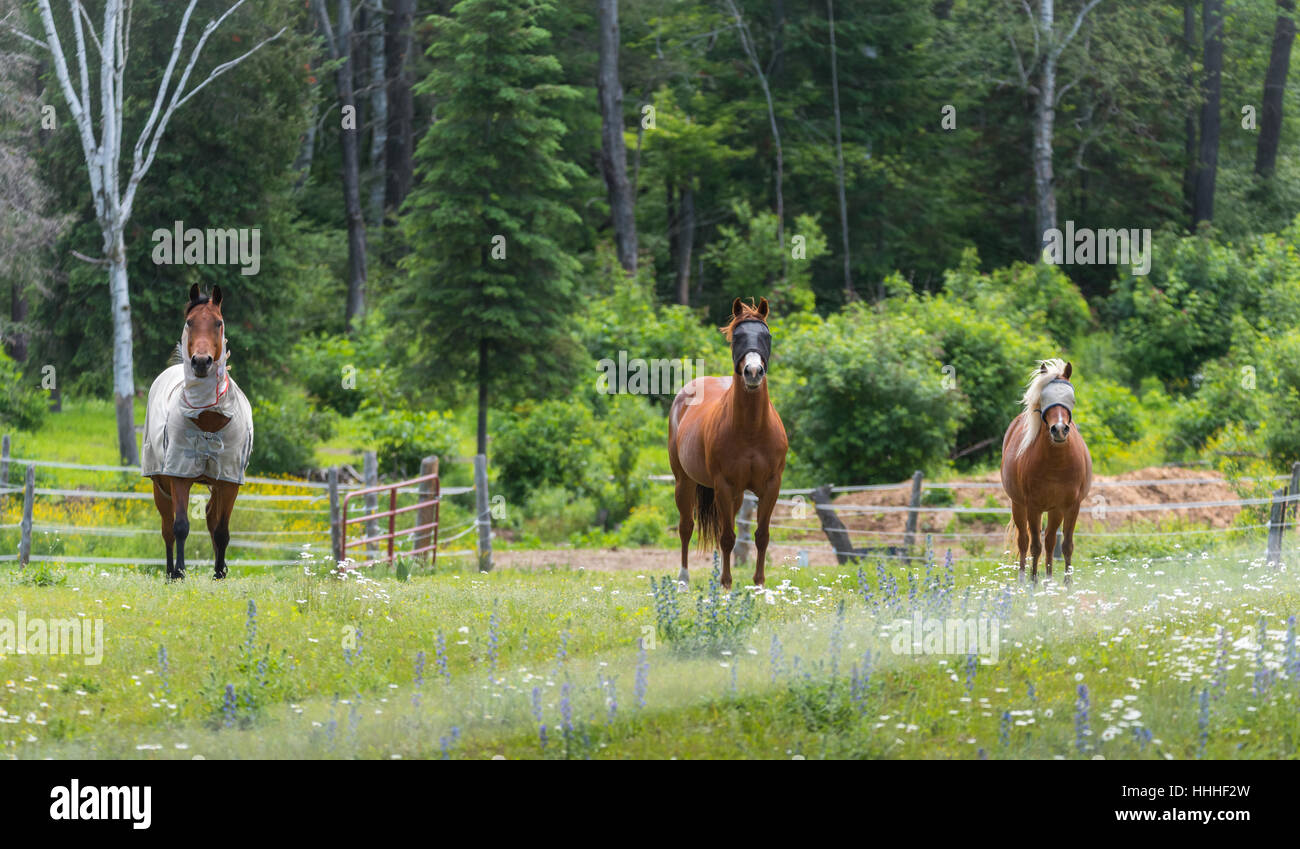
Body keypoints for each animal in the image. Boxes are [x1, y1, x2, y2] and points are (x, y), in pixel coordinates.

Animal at [141, 284, 254, 581]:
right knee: (167, 527)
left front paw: (219, 574)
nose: (201, 362)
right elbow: (180, 526)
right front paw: (180, 572)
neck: (208, 419)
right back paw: (170, 571)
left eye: (219, 322)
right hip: (160, 485)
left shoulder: (228, 480)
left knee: (212, 519)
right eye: (190, 322)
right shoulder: (179, 475)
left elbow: (221, 530)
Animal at [668, 297, 788, 590]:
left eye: (767, 336)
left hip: (735, 496)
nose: (753, 372)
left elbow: (761, 535)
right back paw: (684, 579)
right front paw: (726, 585)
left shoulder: (771, 486)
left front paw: (759, 585)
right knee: (686, 527)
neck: (752, 430)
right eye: (737, 337)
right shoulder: (723, 485)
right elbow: (726, 537)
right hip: (684, 482)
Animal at [1000, 358, 1092, 583]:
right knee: (1024, 541)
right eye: (1044, 398)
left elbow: (1066, 546)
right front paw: (1033, 583)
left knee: (1050, 541)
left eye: (1071, 399)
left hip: (1054, 510)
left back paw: (1049, 581)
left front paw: (1067, 584)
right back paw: (1023, 580)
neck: (1056, 464)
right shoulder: (1033, 506)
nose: (1059, 429)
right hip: (1018, 505)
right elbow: (1034, 546)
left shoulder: (1070, 506)